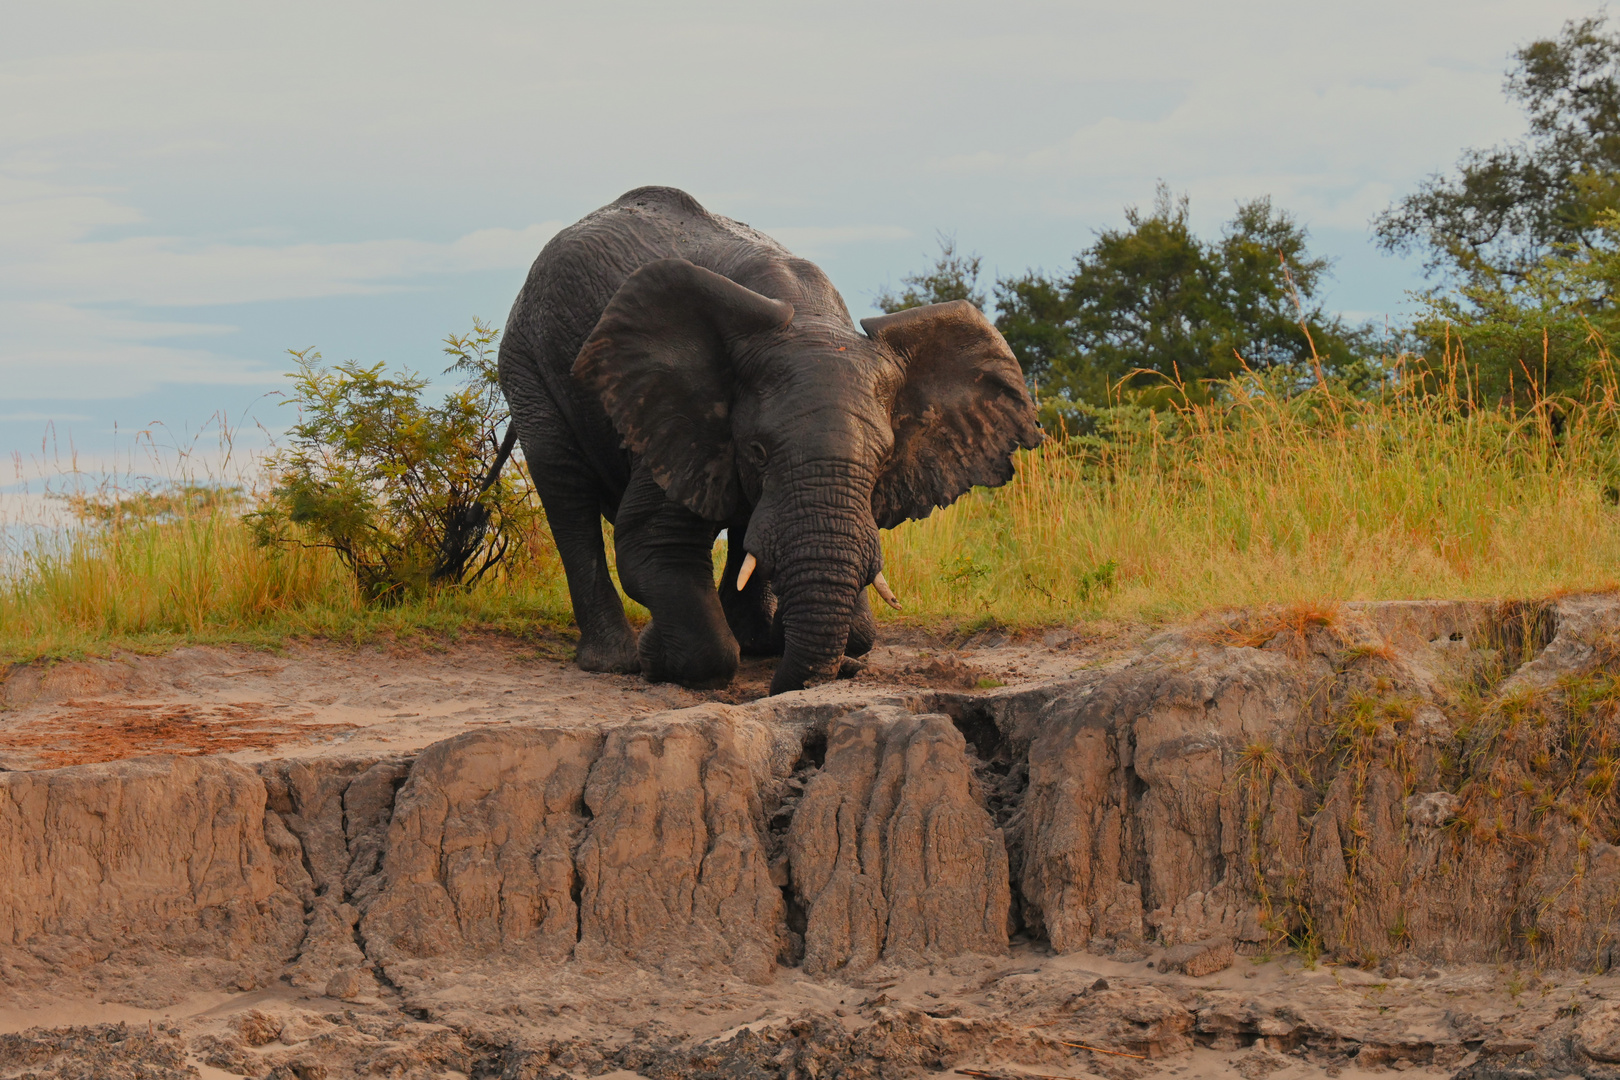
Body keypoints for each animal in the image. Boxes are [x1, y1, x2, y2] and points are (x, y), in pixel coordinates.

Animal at [492, 184, 1043, 693]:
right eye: (755, 451)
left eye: (884, 459)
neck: (810, 319)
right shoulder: (679, 416)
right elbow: (652, 544)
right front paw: (657, 657)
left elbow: (855, 624)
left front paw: (809, 646)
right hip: (527, 363)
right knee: (566, 489)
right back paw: (616, 661)